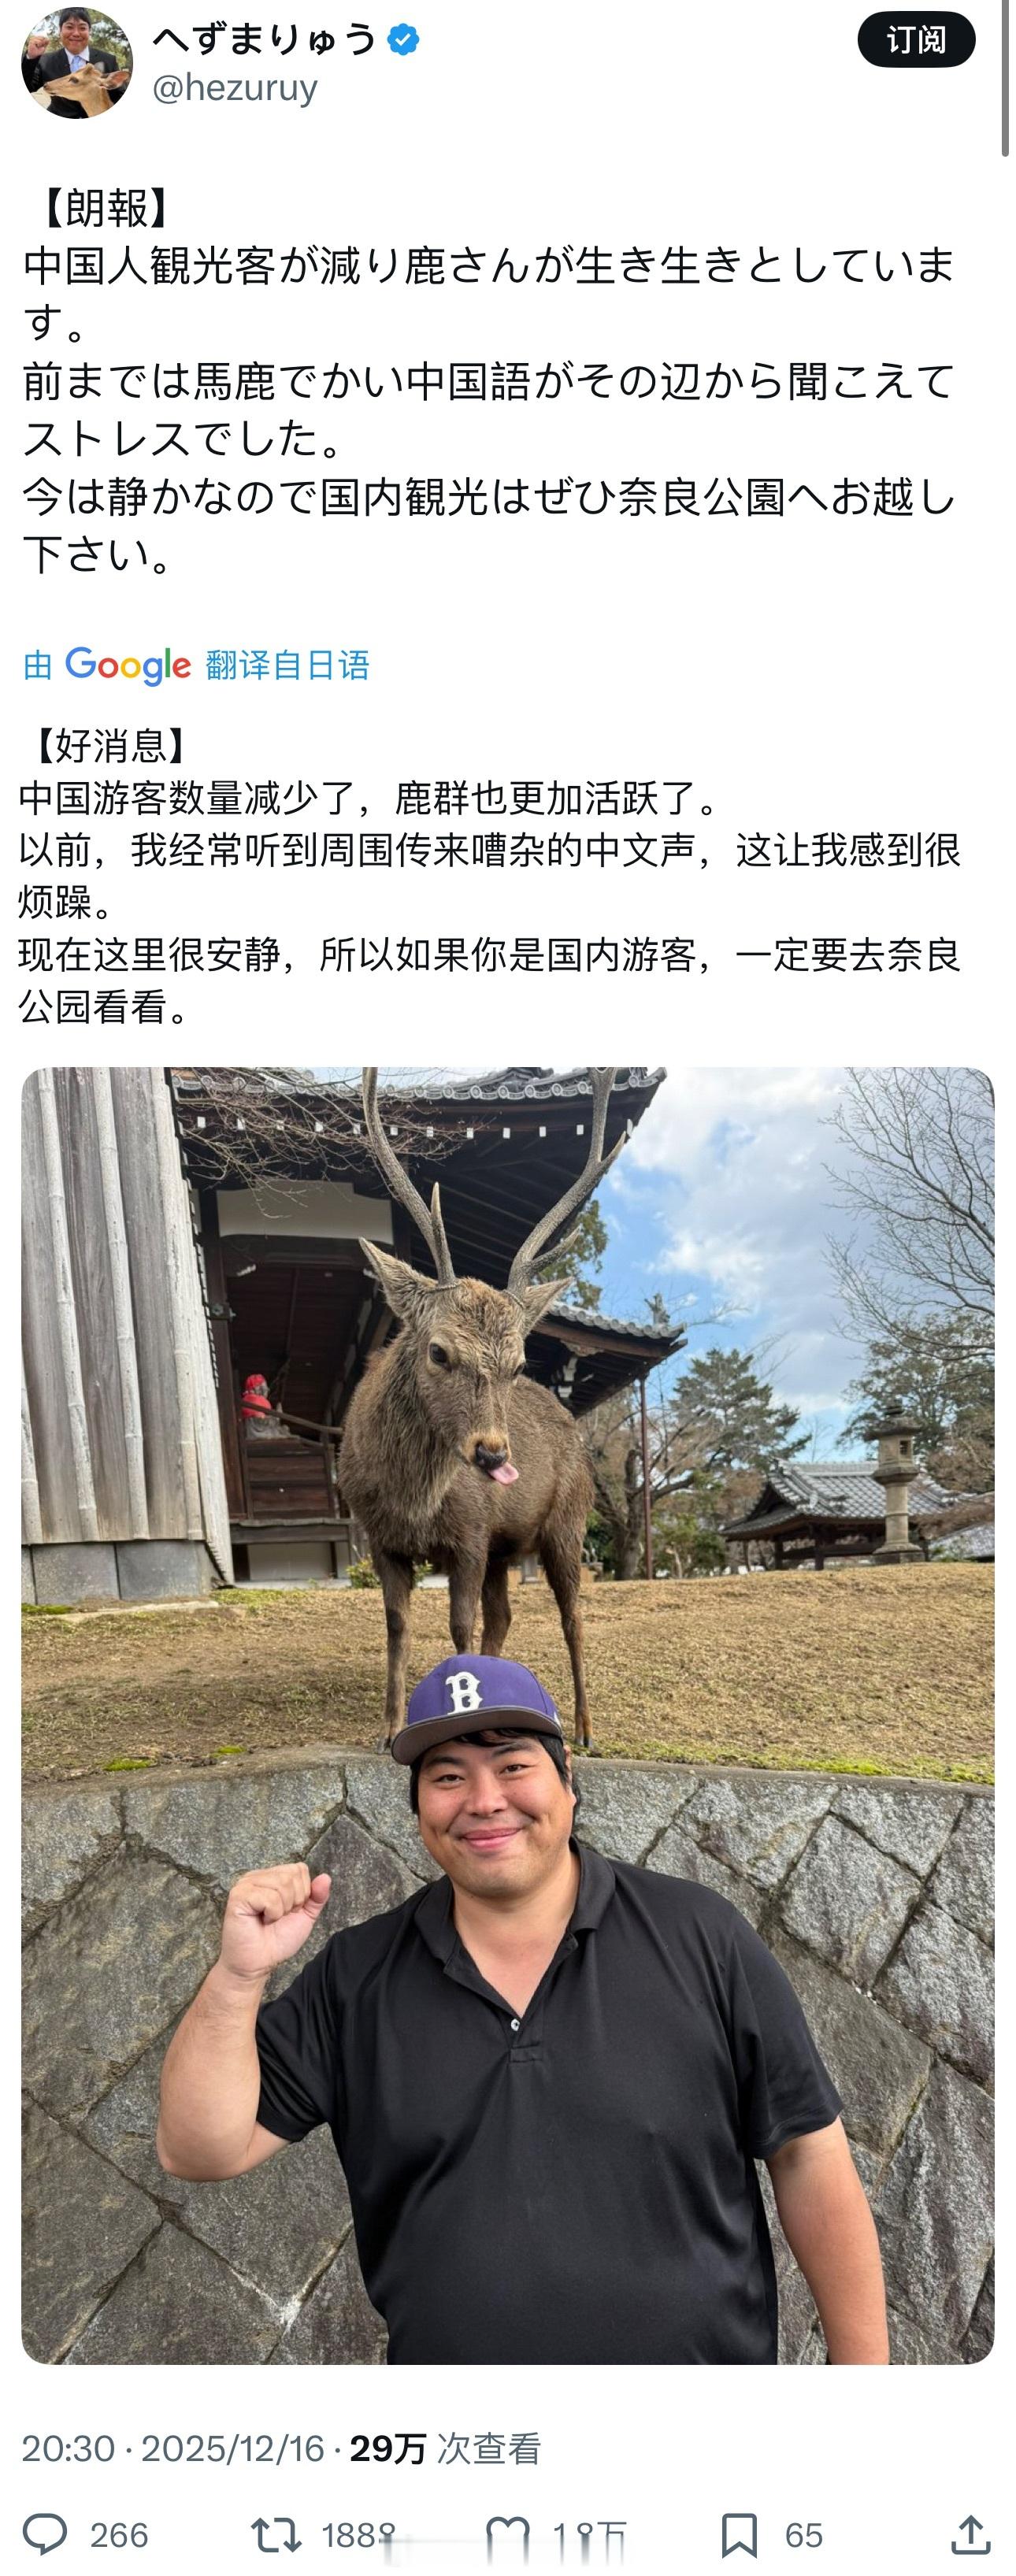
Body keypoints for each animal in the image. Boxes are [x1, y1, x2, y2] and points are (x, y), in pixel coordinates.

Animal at [339, 1069, 625, 1751]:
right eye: (439, 1350)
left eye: (518, 1362)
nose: (493, 1453)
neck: (411, 1499)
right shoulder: (382, 1536)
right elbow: (398, 1624)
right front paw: (387, 1727)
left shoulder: (469, 1533)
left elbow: (459, 1627)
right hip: (505, 1546)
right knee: (505, 1615)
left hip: (568, 1521)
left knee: (572, 1615)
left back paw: (586, 1727)